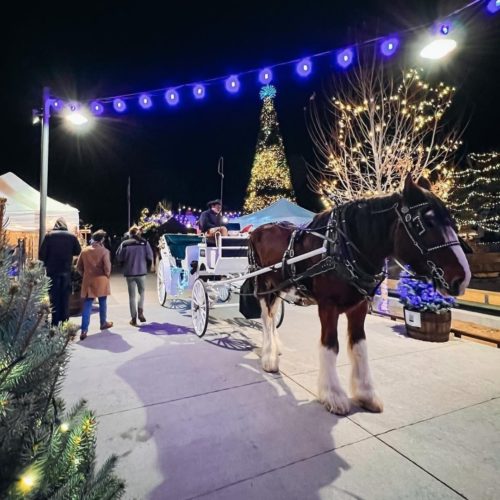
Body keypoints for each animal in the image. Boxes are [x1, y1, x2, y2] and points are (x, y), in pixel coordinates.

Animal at [252, 176, 470, 414]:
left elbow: (359, 346)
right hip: (263, 284)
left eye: (451, 221)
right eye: (425, 223)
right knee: (267, 318)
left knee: (272, 316)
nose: (463, 278)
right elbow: (331, 345)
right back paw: (269, 357)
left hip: (278, 286)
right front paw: (333, 395)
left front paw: (366, 394)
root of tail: (258, 229)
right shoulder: (327, 306)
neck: (342, 246)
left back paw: (275, 349)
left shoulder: (359, 306)